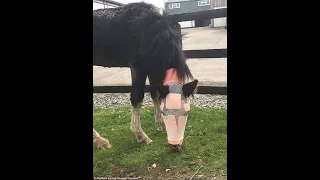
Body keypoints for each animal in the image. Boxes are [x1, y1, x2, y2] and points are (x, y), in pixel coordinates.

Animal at [92, 2, 198, 150]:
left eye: (186, 113)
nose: (176, 145)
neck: (154, 31)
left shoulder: (153, 68)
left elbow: (156, 95)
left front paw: (160, 124)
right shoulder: (139, 67)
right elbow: (137, 98)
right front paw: (141, 136)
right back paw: (101, 140)